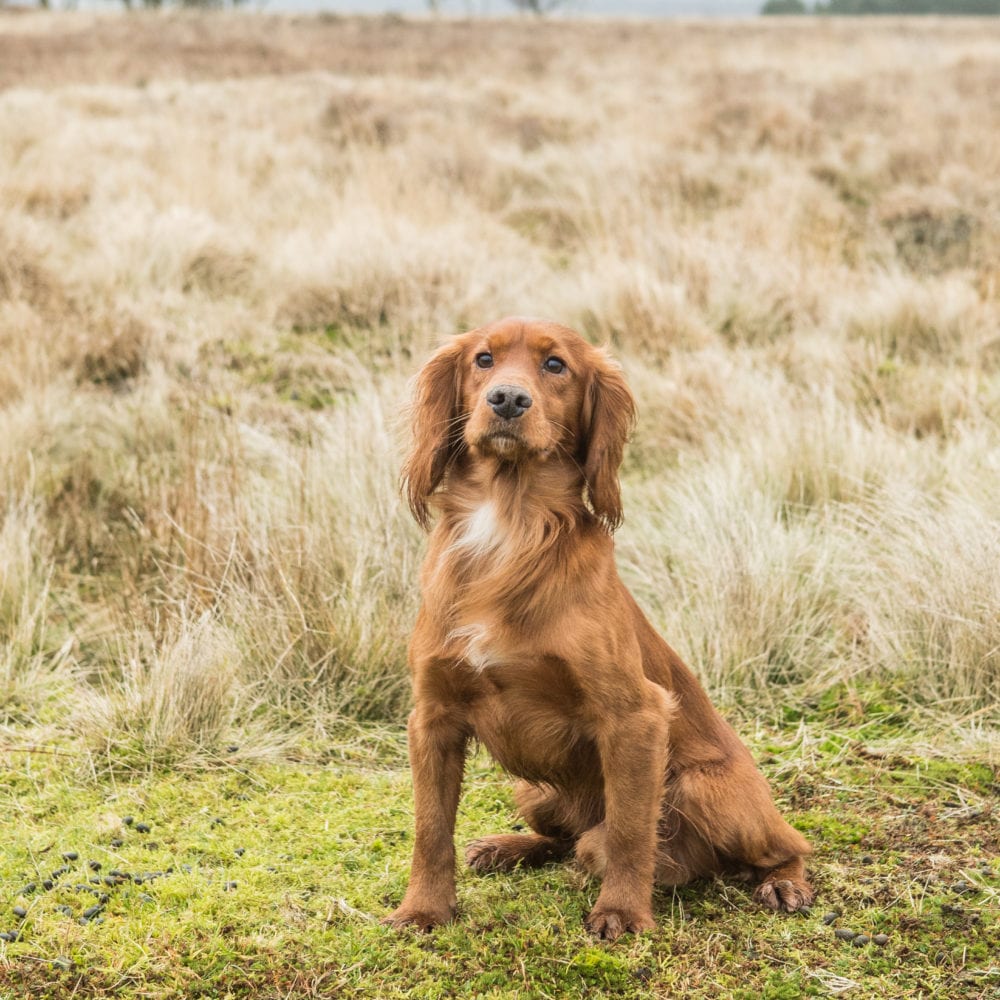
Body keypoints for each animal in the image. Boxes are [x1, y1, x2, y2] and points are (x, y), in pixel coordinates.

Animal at [386, 318, 816, 936]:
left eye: (555, 366)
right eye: (484, 360)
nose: (508, 400)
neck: (510, 526)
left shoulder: (636, 717)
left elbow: (630, 832)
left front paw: (622, 913)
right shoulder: (433, 716)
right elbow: (430, 829)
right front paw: (423, 909)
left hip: (708, 789)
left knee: (786, 845)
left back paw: (782, 883)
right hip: (533, 790)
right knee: (565, 839)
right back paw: (509, 847)